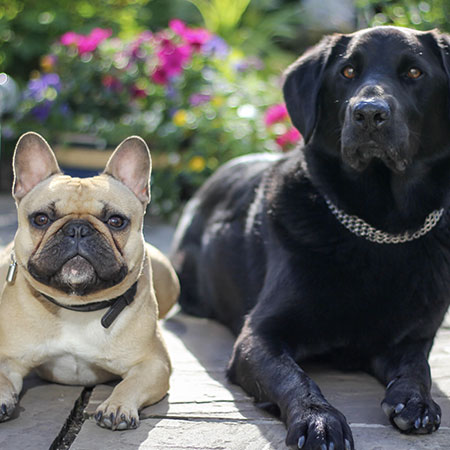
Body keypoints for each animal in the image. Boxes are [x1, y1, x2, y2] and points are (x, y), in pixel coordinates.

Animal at [171, 27, 450, 450]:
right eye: (348, 71)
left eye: (414, 73)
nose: (368, 113)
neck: (380, 230)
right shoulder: (258, 335)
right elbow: (294, 376)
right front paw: (319, 419)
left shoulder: (413, 339)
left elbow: (419, 368)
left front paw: (416, 400)